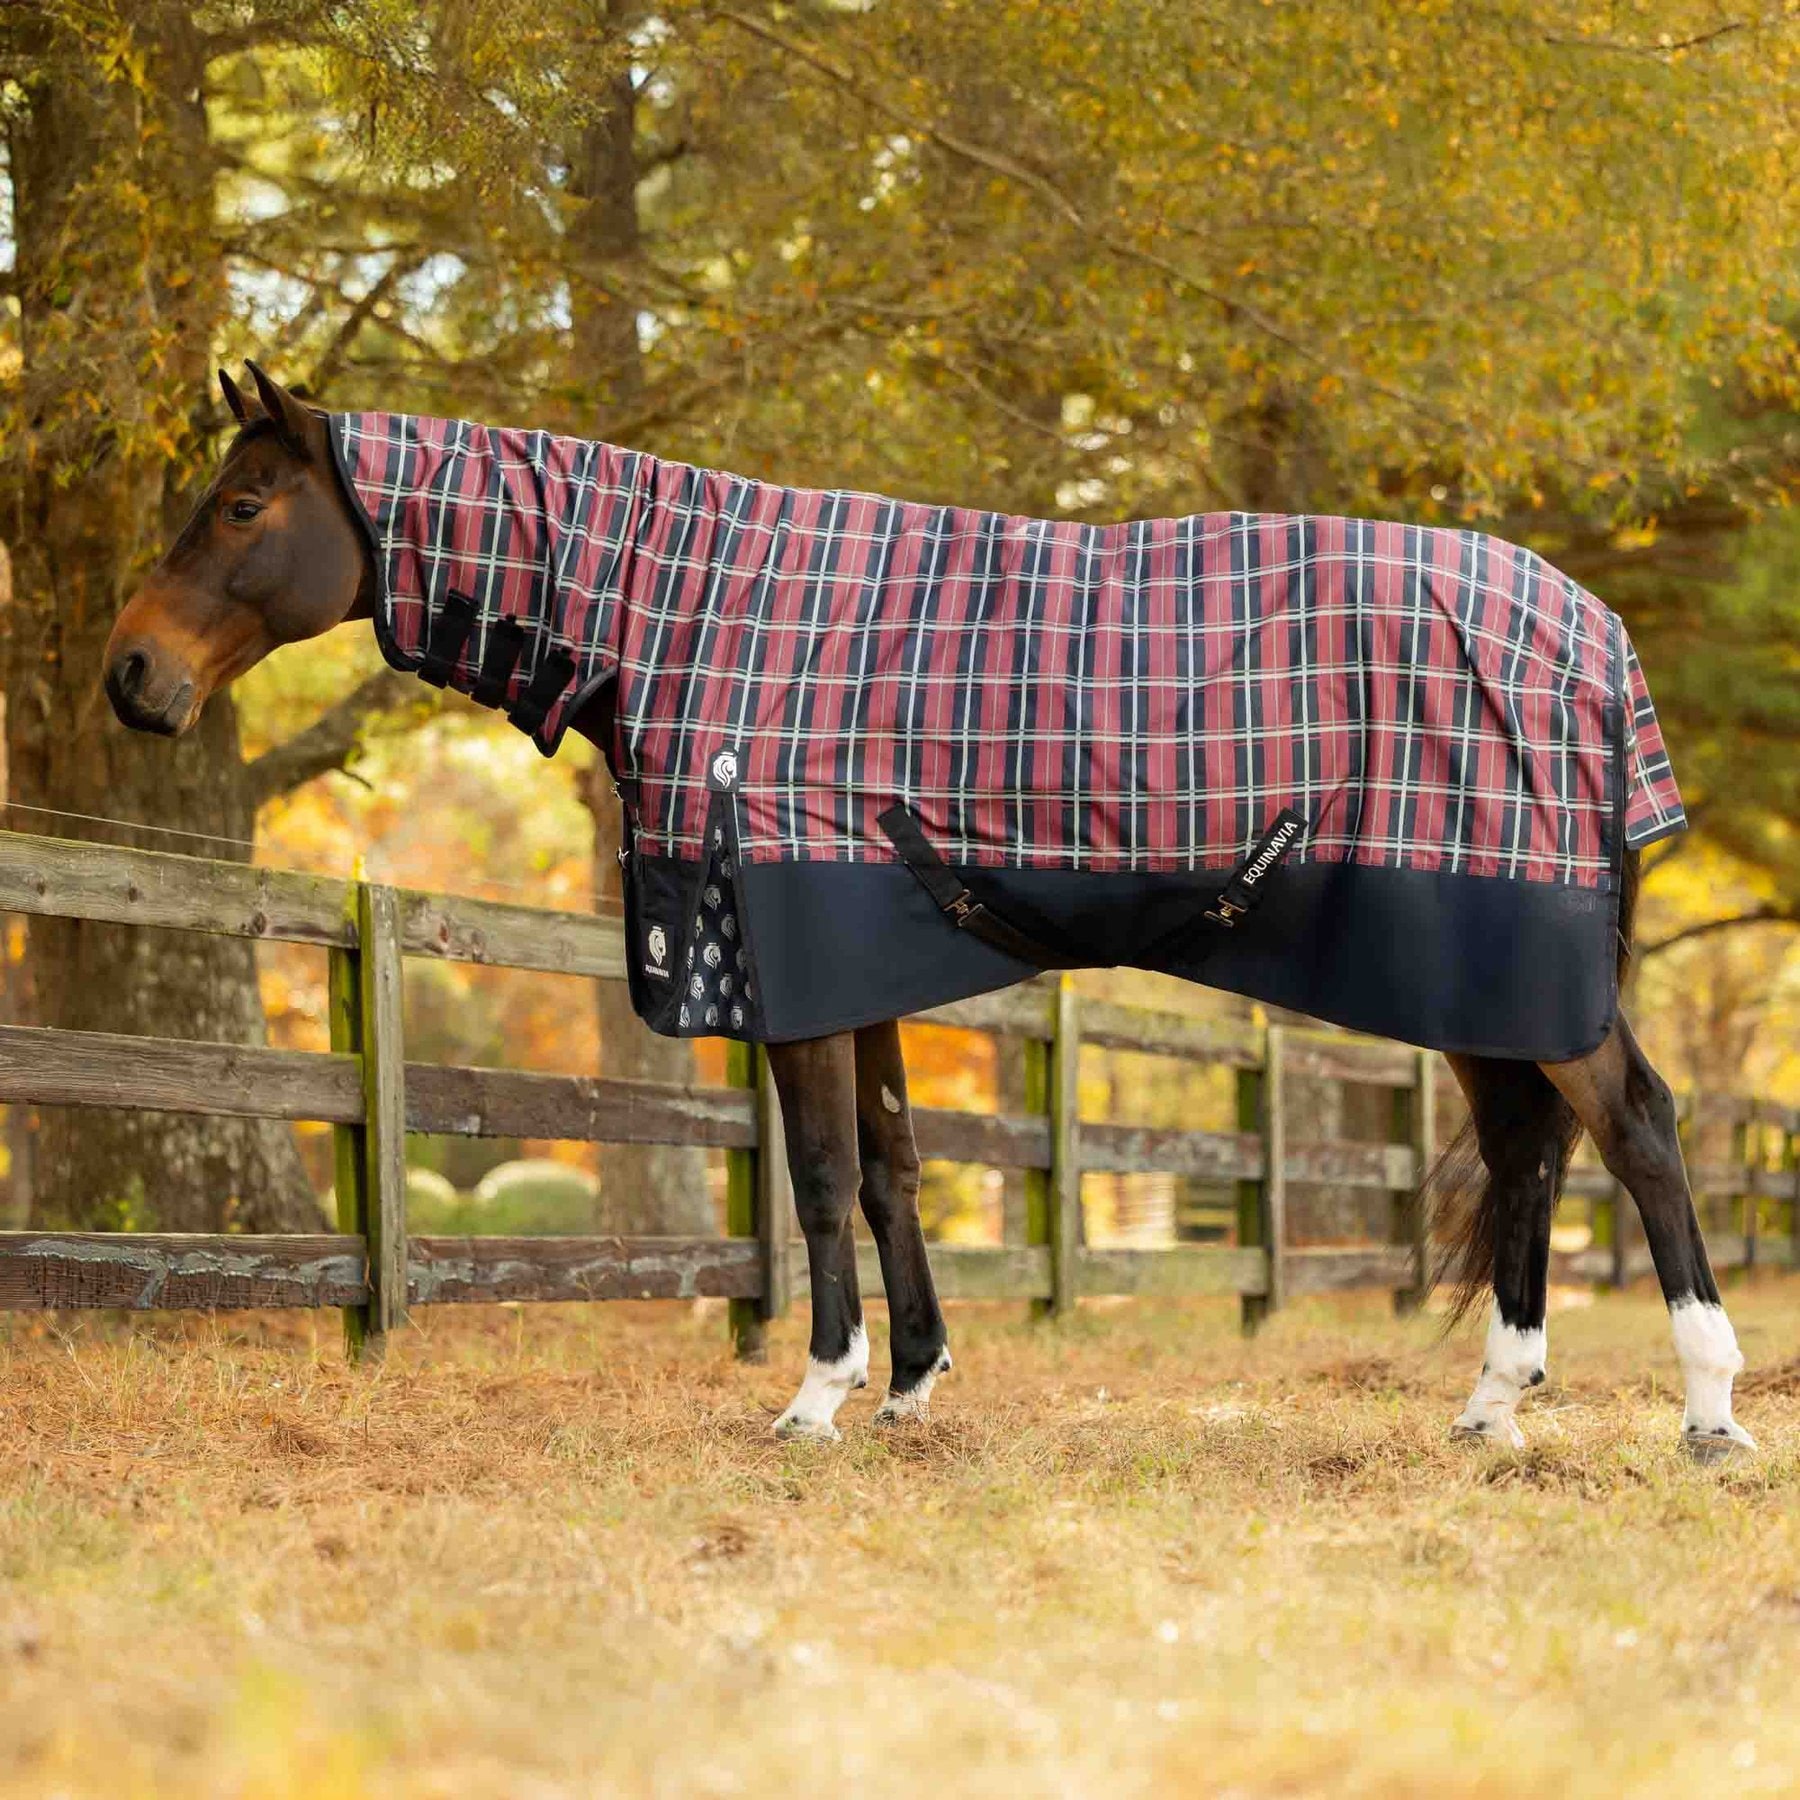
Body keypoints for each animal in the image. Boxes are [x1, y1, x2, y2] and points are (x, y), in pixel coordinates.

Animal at [102, 361, 1755, 1456]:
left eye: (241, 503)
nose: (131, 675)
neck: (701, 610)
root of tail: (1595, 639)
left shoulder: (786, 956)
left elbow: (825, 1178)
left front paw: (817, 1398)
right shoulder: (861, 963)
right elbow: (897, 1167)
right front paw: (911, 1384)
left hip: (1518, 974)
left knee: (1639, 1130)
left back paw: (1710, 1407)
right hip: (1476, 978)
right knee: (1532, 1153)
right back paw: (1495, 1404)